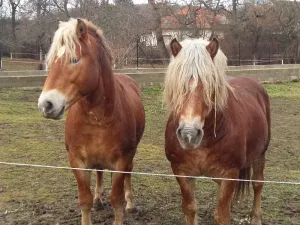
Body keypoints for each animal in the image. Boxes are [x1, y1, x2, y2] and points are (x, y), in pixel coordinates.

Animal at [37, 18, 145, 225]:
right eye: (51, 61)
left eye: (74, 59)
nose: (46, 104)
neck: (98, 119)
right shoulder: (77, 161)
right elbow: (84, 200)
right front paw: (93, 201)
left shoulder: (121, 161)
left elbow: (117, 200)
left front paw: (123, 206)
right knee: (99, 171)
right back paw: (98, 200)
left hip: (130, 155)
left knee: (128, 173)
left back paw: (131, 204)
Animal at [163, 37, 270, 225]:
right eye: (178, 86)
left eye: (209, 84)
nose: (189, 134)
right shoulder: (182, 173)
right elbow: (190, 209)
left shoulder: (229, 174)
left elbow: (221, 215)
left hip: (260, 153)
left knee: (258, 184)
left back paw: (256, 218)